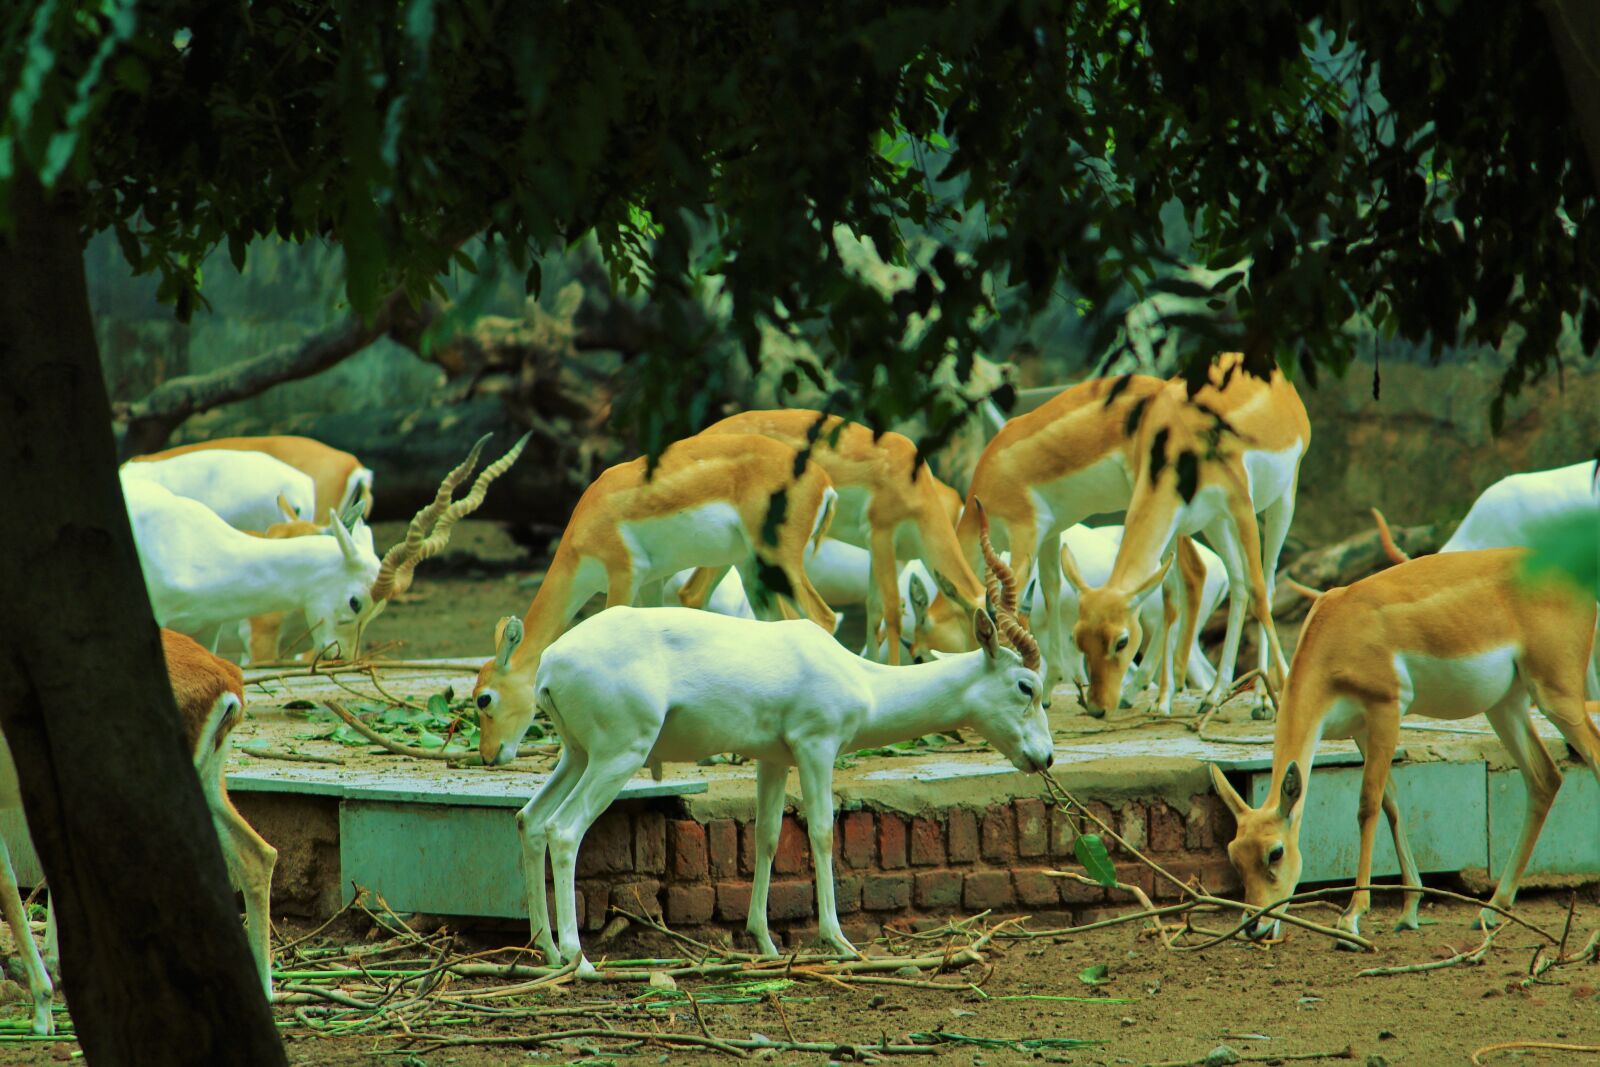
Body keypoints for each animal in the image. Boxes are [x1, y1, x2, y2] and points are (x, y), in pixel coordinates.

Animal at [469, 433, 841, 762]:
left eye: (484, 699)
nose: (488, 756)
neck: (592, 516)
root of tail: (824, 482)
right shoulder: (651, 581)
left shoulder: (624, 576)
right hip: (753, 568)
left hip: (778, 562)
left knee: (823, 618)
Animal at [471, 503, 1052, 972]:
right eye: (1027, 685)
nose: (1043, 757)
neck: (861, 679)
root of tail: (551, 663)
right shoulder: (817, 746)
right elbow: (821, 831)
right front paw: (838, 940)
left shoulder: (774, 759)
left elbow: (768, 835)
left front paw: (766, 942)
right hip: (618, 754)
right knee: (565, 830)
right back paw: (579, 958)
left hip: (577, 755)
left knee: (531, 821)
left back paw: (546, 951)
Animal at [690, 410, 980, 664]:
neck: (917, 486)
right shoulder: (881, 537)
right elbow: (891, 612)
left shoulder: (882, 552)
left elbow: (874, 609)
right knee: (695, 594)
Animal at [1060, 356, 1310, 717]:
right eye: (1079, 636)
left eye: (1122, 640)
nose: (1097, 707)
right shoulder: (1177, 525)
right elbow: (1171, 603)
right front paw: (1162, 701)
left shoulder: (1242, 506)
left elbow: (1260, 593)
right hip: (1215, 522)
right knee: (1237, 583)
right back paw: (1214, 694)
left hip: (1282, 498)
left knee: (1268, 582)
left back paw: (1263, 701)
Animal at [1211, 548, 1600, 946]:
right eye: (1234, 855)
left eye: (1275, 853)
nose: (1254, 926)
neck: (1337, 629)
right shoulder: (1359, 728)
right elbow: (1391, 802)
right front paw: (1409, 911)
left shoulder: (1387, 709)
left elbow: (1368, 805)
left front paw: (1351, 918)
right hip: (1506, 704)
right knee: (1545, 779)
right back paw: (1491, 910)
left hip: (1557, 696)